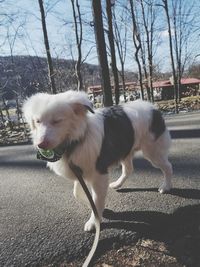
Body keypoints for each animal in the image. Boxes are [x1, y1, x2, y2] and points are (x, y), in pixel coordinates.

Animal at [22, 90, 173, 232]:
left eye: (57, 121)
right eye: (37, 121)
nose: (41, 144)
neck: (76, 141)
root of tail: (153, 107)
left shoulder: (99, 174)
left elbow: (96, 198)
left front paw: (94, 221)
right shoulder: (80, 170)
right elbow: (77, 193)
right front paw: (98, 210)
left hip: (152, 151)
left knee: (168, 166)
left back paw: (166, 186)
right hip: (125, 149)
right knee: (129, 169)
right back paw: (117, 184)